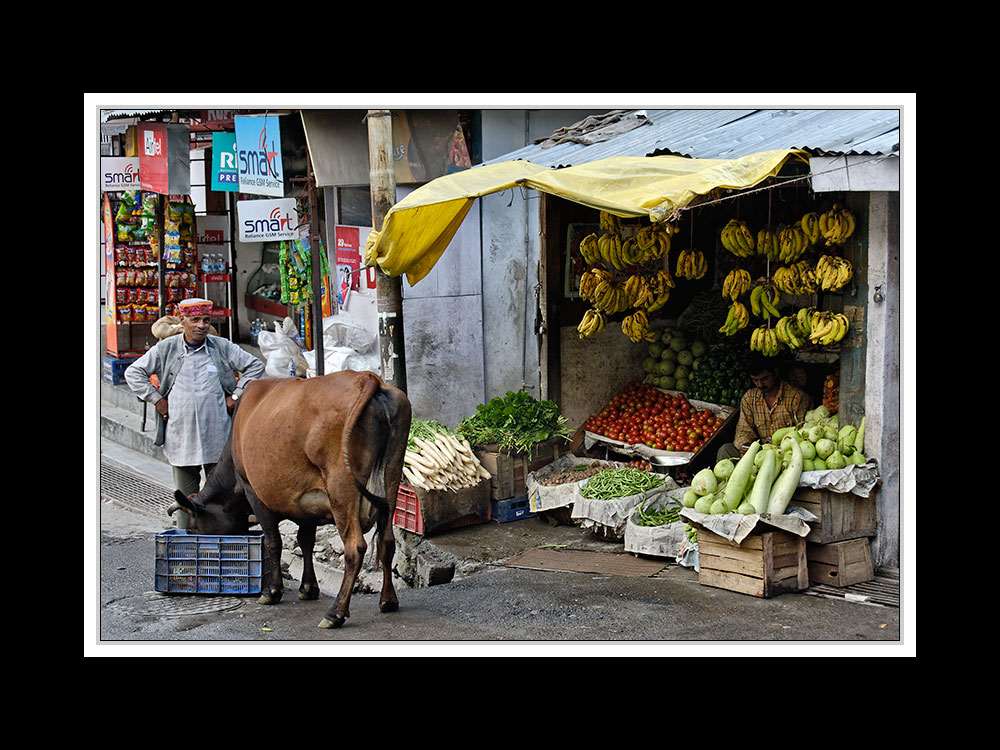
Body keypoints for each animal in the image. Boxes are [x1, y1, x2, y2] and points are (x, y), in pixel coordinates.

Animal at [170, 374, 412, 632]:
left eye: (192, 529)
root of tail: (367, 378)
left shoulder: (253, 491)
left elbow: (273, 542)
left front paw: (272, 592)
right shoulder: (309, 503)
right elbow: (305, 541)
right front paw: (308, 588)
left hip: (341, 487)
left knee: (354, 548)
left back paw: (335, 613)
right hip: (392, 476)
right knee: (387, 541)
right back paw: (388, 600)